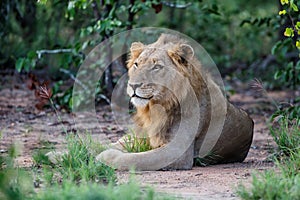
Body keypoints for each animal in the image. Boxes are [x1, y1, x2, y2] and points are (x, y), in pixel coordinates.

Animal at [96, 34, 253, 170]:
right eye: (136, 64)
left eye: (157, 67)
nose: (133, 85)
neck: (156, 109)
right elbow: (111, 145)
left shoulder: (178, 151)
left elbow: (135, 158)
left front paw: (104, 157)